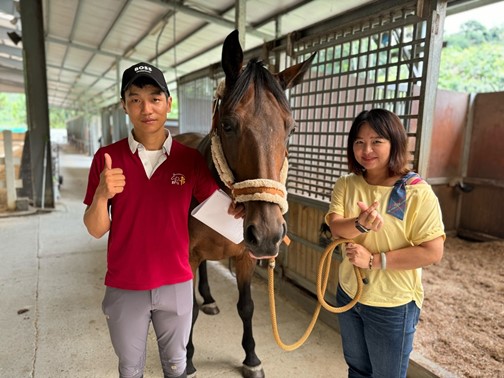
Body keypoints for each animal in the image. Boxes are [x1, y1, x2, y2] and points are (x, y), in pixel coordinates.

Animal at [175, 30, 314, 378]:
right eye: (227, 125)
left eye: (291, 128)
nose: (267, 234)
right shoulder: (189, 254)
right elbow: (189, 309)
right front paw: (188, 359)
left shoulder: (245, 257)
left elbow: (247, 307)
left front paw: (251, 358)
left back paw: (210, 298)